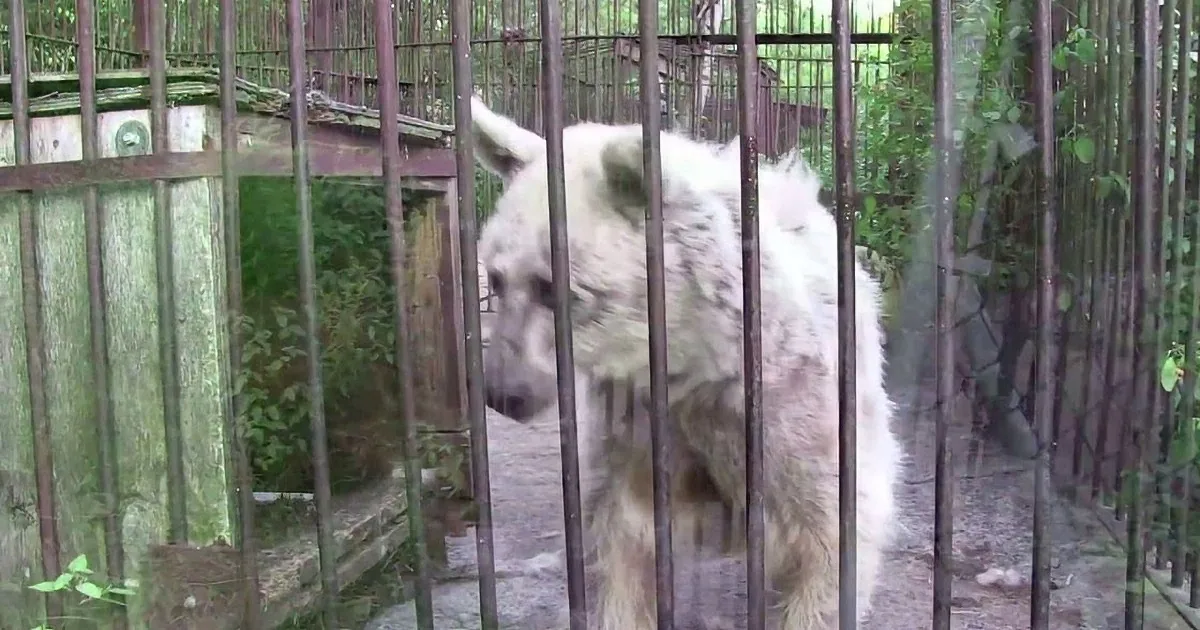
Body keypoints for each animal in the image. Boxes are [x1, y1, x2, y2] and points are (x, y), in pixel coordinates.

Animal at [471, 95, 903, 630]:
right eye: (497, 277)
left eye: (555, 288)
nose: (504, 393)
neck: (701, 356)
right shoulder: (640, 420)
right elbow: (625, 542)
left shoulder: (796, 410)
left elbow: (831, 537)